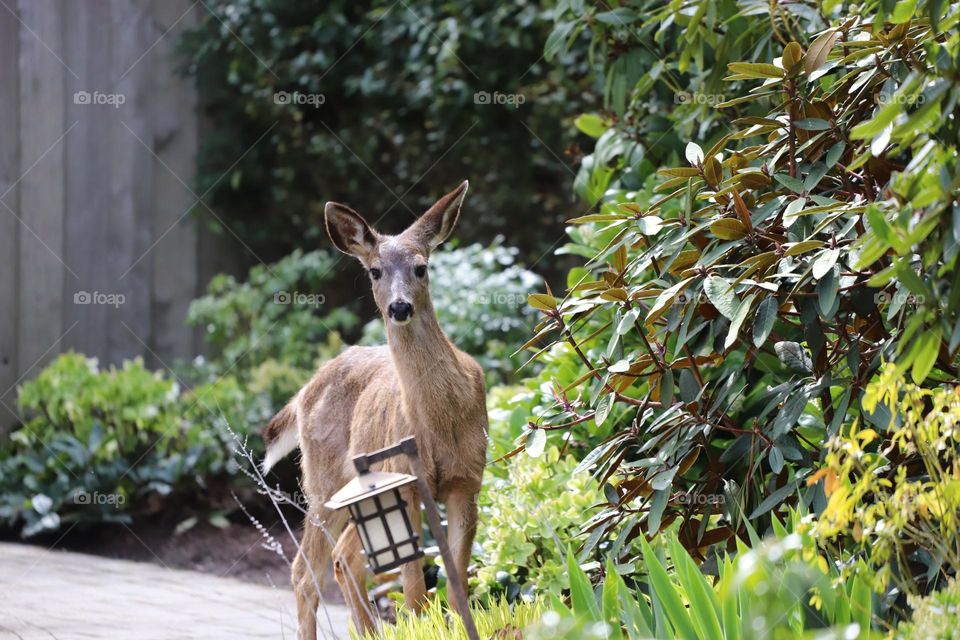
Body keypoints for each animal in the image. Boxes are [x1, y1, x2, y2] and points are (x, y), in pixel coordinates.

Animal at [260, 181, 488, 640]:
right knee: (304, 573)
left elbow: (456, 583)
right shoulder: (406, 481)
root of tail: (305, 389)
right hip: (323, 481)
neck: (443, 420)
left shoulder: (468, 481)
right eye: (375, 271)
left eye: (422, 267)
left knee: (343, 558)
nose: (399, 307)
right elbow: (416, 591)